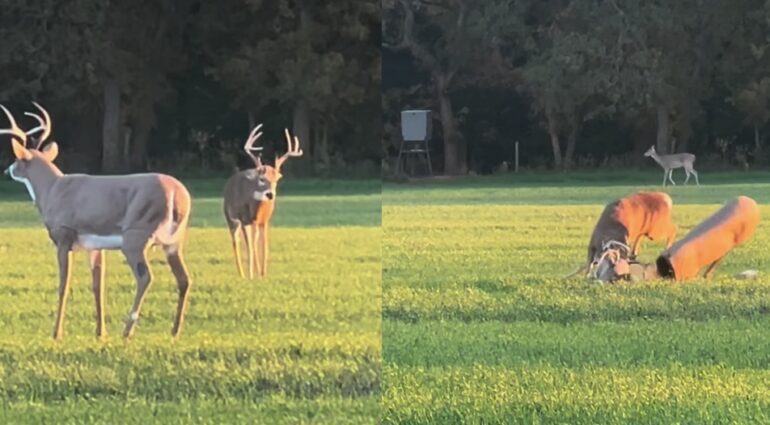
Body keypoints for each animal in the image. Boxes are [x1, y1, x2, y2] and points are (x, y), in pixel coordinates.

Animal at [1, 103, 192, 341]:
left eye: (17, 159)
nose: (7, 170)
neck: (52, 190)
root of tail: (178, 195)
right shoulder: (94, 245)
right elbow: (97, 285)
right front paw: (100, 333)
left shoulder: (64, 235)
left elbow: (63, 284)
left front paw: (57, 333)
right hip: (174, 241)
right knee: (184, 279)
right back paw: (174, 331)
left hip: (136, 235)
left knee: (145, 277)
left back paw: (127, 330)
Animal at [223, 125, 303, 279]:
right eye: (261, 179)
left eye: (277, 179)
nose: (270, 194)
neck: (257, 210)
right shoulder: (245, 218)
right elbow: (249, 246)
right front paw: (251, 275)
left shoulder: (264, 221)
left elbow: (263, 246)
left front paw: (263, 274)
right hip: (231, 217)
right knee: (236, 242)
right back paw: (242, 274)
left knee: (252, 242)